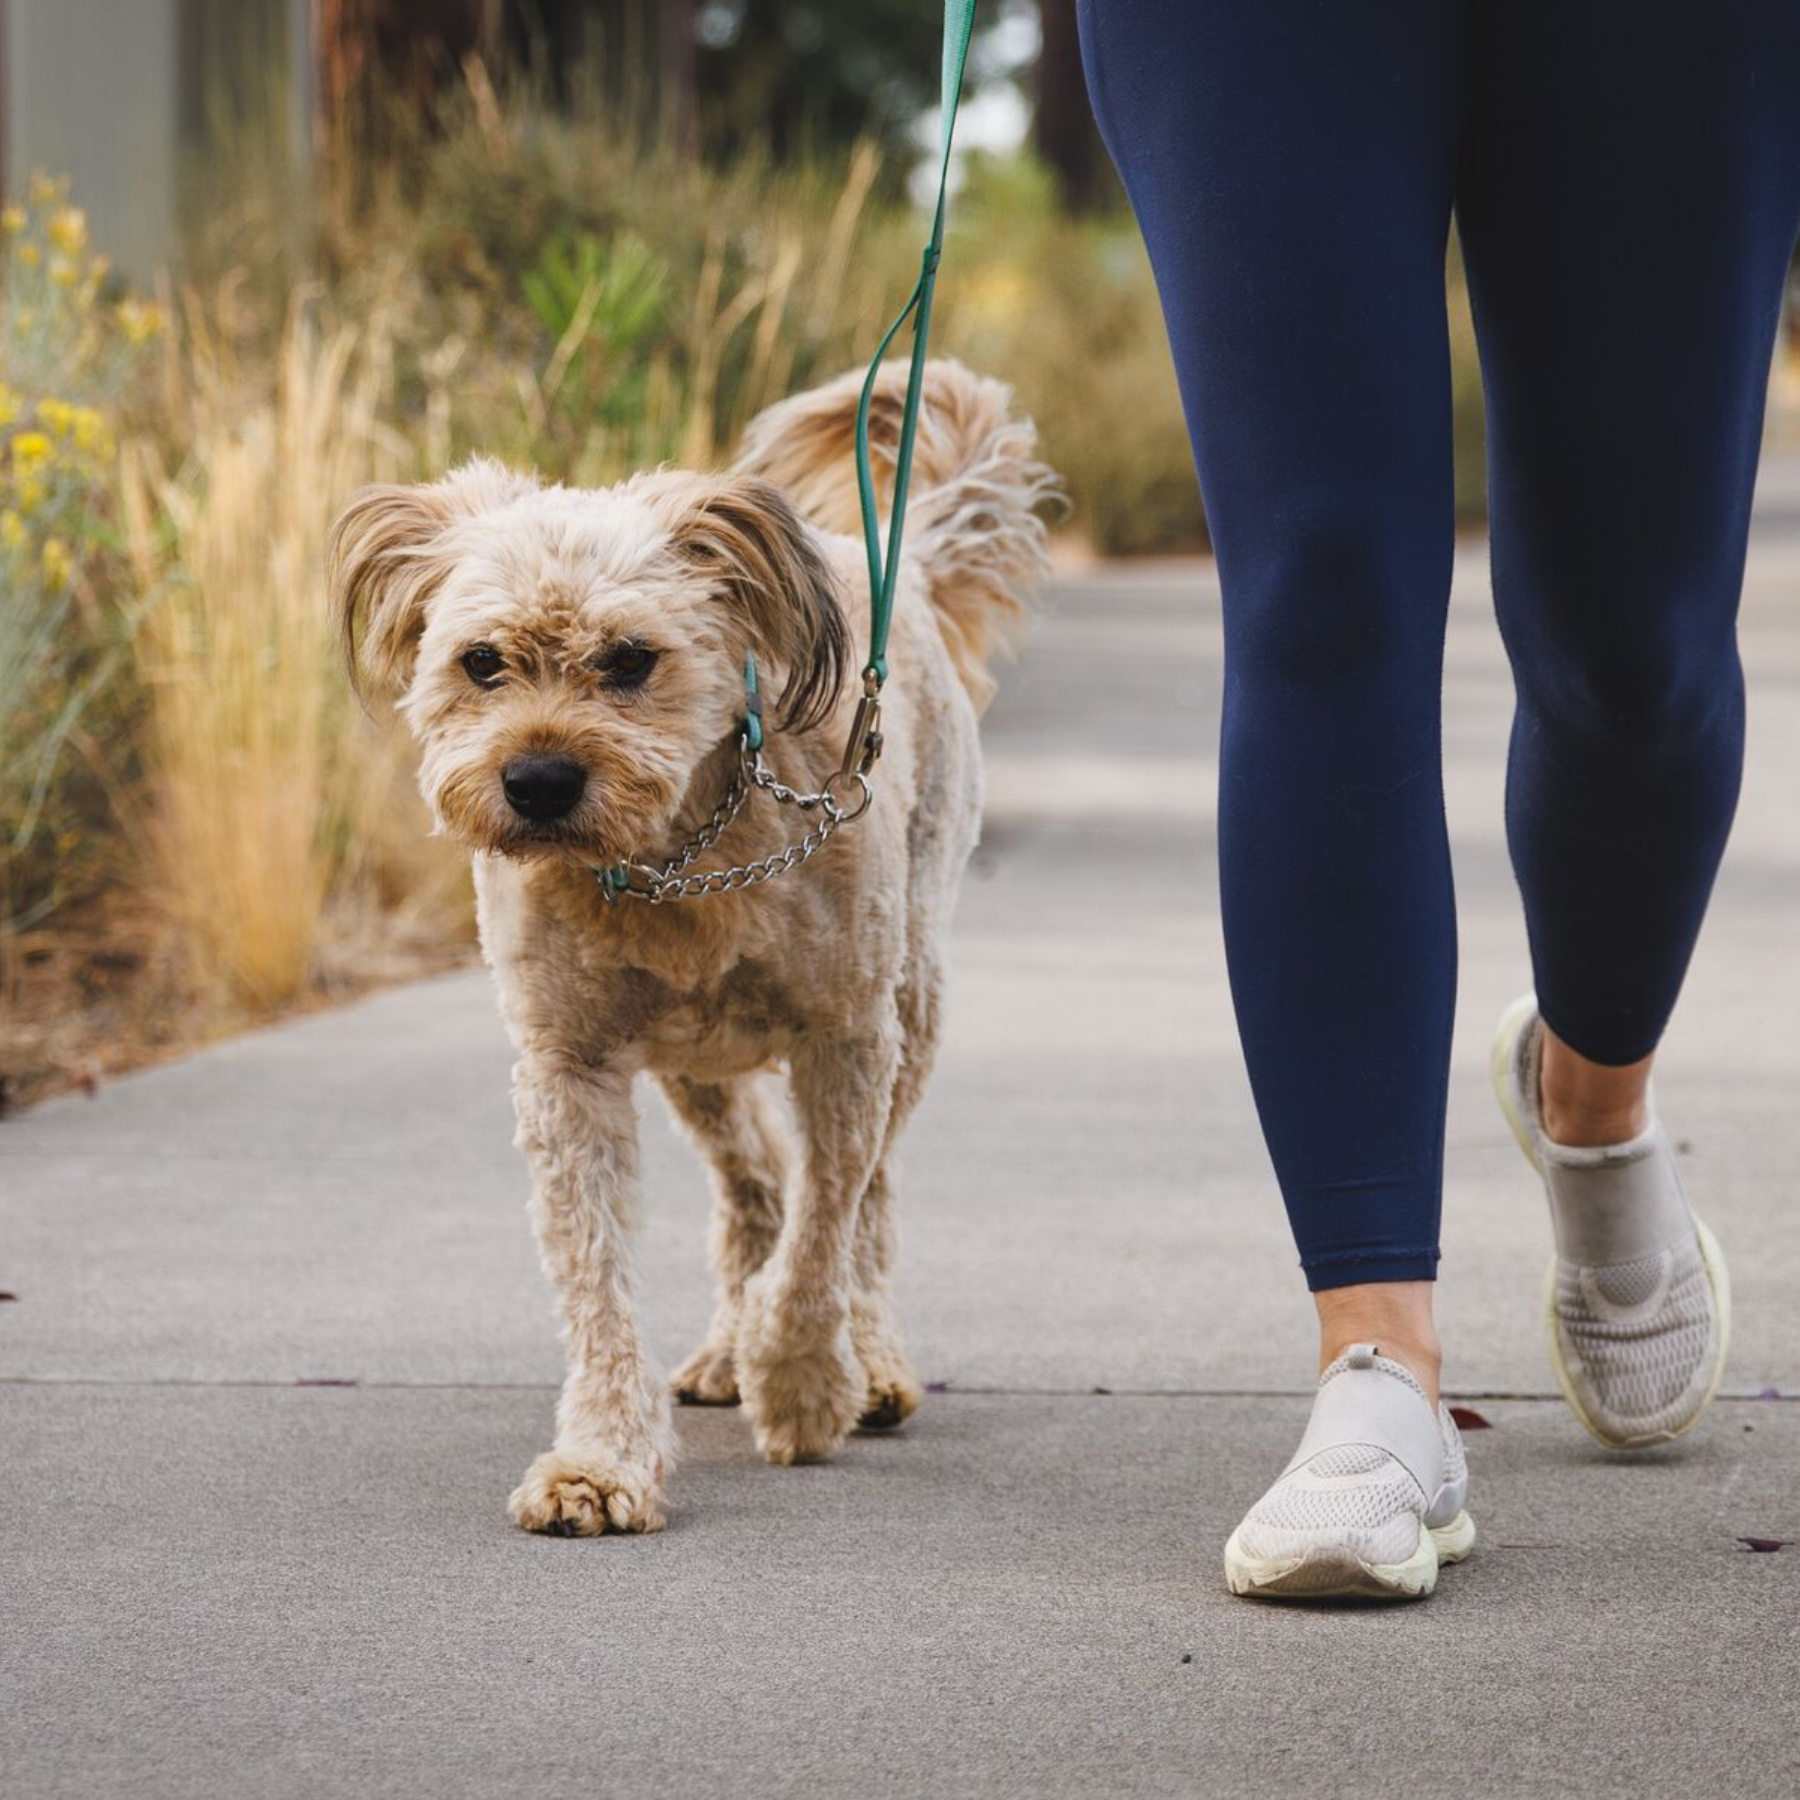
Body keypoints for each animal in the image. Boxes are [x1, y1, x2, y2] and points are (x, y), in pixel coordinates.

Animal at [329, 361, 1051, 1533]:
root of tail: (895, 563)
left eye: (632, 660)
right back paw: (726, 1347)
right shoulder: (568, 1069)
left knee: (863, 1203)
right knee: (755, 1184)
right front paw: (602, 1460)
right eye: (480, 663)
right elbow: (601, 1283)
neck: (673, 861)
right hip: (692, 1065)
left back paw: (867, 1360)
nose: (536, 782)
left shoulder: (846, 1041)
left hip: (913, 1005)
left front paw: (800, 1384)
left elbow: (823, 1230)